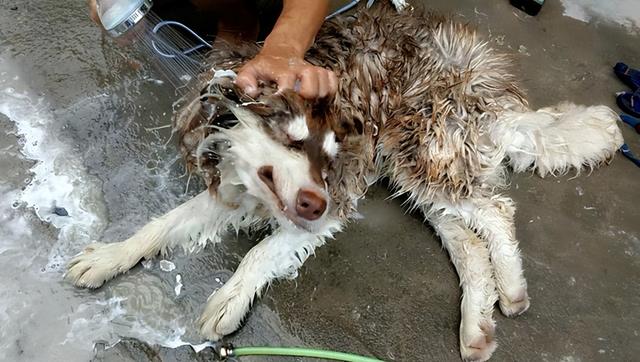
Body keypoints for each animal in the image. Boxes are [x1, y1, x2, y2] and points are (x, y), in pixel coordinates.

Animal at [66, 2, 624, 360]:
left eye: (331, 144)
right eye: (292, 138)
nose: (314, 203)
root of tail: (488, 79)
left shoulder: (331, 202)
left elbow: (259, 253)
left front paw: (229, 300)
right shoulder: (232, 188)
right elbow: (159, 226)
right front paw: (108, 256)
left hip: (421, 149)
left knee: (495, 211)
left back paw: (511, 290)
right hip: (415, 171)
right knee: (468, 242)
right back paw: (477, 327)